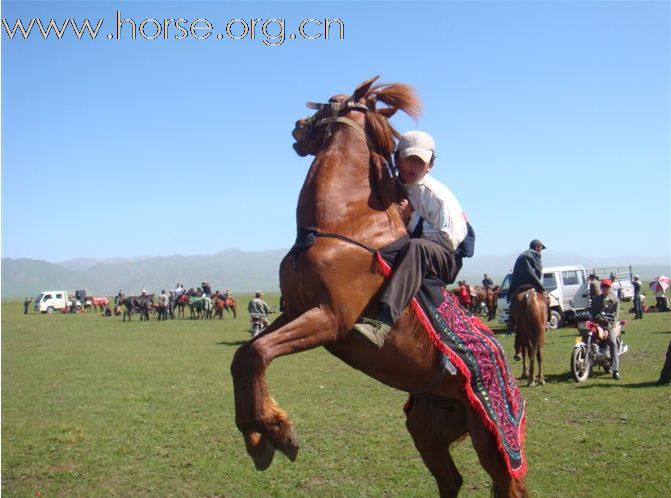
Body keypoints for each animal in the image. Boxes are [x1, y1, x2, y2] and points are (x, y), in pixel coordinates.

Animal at [231, 78, 532, 498]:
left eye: (332, 102)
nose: (297, 126)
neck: (343, 226)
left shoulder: (329, 320)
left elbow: (258, 353)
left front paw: (279, 432)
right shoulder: (295, 310)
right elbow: (244, 356)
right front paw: (258, 439)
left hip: (491, 441)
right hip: (426, 428)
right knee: (450, 480)